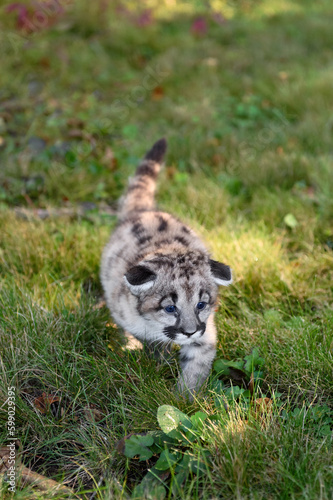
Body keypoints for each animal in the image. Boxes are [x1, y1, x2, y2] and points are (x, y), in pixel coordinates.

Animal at [100, 139, 232, 396]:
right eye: (170, 308)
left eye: (201, 304)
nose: (189, 332)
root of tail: (144, 211)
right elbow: (153, 346)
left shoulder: (205, 335)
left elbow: (195, 368)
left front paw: (184, 398)